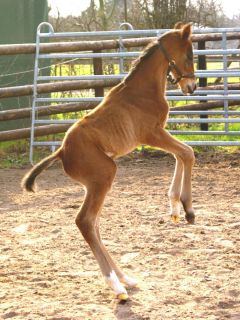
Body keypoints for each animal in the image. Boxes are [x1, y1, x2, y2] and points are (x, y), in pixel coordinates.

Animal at [21, 22, 197, 300]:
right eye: (189, 55)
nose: (192, 87)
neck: (142, 90)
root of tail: (61, 151)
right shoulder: (151, 134)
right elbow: (187, 152)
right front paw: (188, 209)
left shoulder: (158, 133)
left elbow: (181, 153)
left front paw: (175, 208)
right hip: (105, 174)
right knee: (85, 221)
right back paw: (116, 286)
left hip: (94, 183)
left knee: (94, 224)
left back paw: (126, 278)